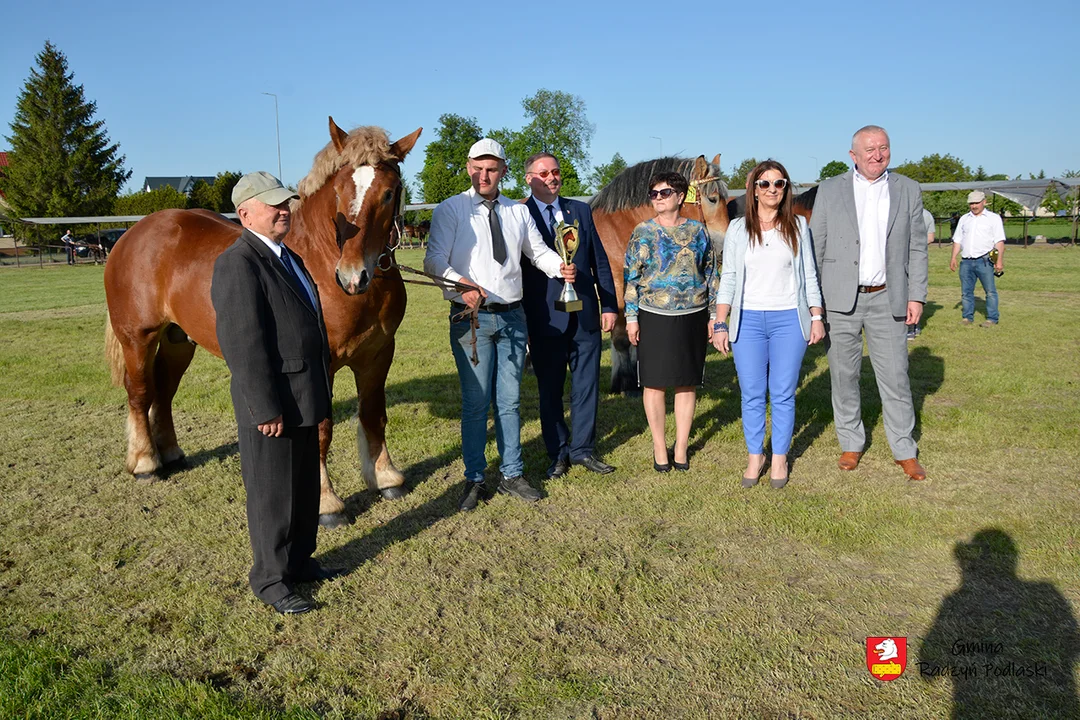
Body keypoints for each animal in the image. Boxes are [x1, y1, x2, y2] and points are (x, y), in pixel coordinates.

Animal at [102, 118, 421, 528]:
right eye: (338, 191)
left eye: (389, 192)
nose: (352, 276)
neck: (320, 260)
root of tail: (133, 234)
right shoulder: (319, 365)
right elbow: (321, 430)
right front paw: (327, 504)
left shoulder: (378, 354)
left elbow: (373, 415)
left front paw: (386, 478)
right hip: (137, 337)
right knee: (140, 392)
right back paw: (145, 463)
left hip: (178, 341)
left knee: (164, 390)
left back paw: (171, 452)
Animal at [591, 155, 734, 397]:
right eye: (713, 199)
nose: (724, 249)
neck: (616, 229)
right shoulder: (618, 290)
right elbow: (621, 338)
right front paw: (626, 383)